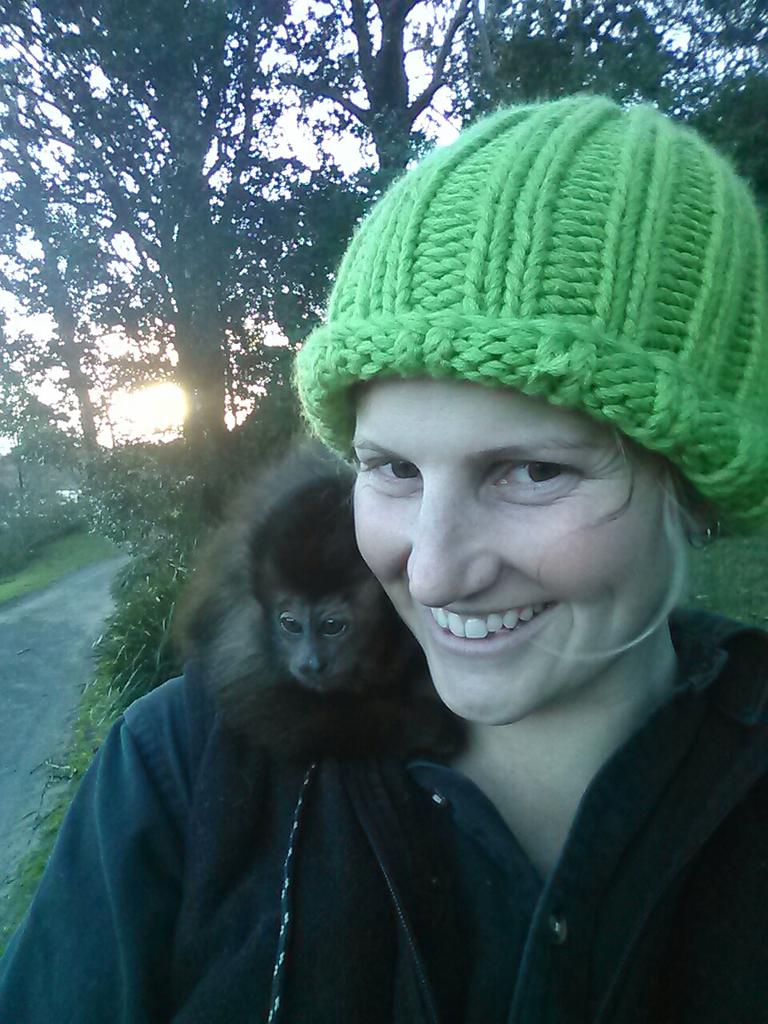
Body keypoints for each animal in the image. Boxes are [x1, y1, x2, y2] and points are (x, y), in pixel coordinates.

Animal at [174, 440, 462, 761]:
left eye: (332, 626)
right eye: (290, 624)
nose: (311, 663)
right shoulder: (243, 628)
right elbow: (259, 702)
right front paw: (425, 727)